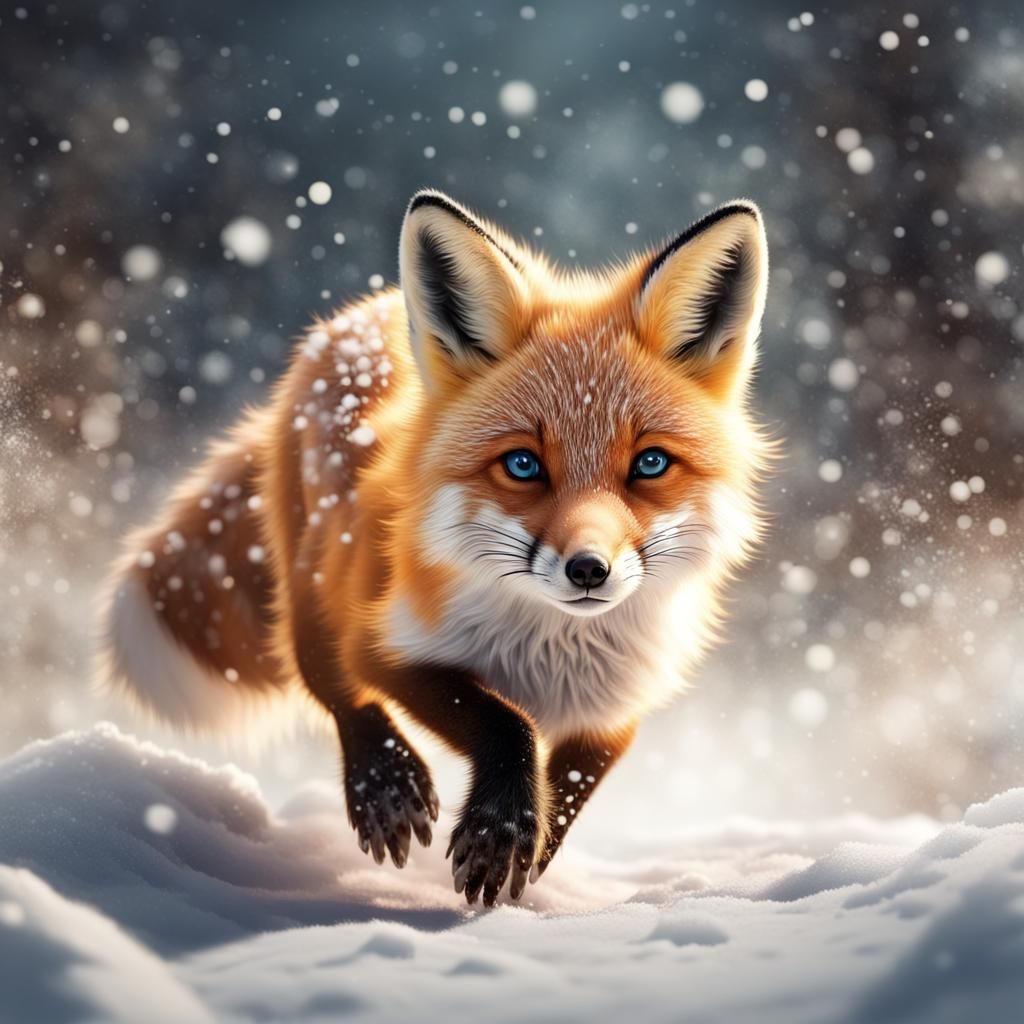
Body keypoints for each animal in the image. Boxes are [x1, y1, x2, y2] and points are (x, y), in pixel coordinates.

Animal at [101, 189, 771, 907]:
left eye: (650, 463)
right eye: (523, 464)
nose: (589, 570)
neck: (553, 657)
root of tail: (364, 310)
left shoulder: (616, 710)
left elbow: (570, 782)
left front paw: (526, 853)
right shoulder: (386, 644)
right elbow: (505, 721)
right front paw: (497, 828)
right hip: (318, 575)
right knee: (324, 675)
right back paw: (383, 786)